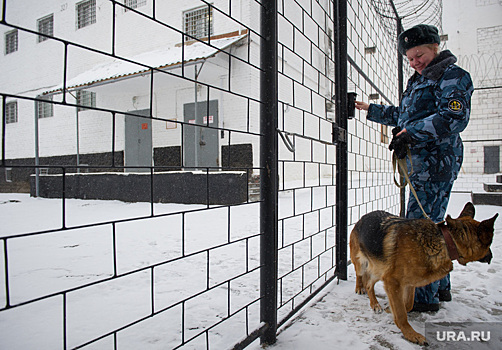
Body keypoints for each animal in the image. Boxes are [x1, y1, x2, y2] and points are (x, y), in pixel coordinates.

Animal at [352, 202, 496, 344]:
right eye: (489, 245)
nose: (491, 256)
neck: (445, 242)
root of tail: (363, 218)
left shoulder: (409, 283)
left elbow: (408, 305)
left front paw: (391, 309)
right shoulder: (392, 281)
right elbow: (401, 313)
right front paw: (411, 334)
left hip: (378, 268)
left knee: (369, 284)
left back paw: (374, 303)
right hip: (363, 264)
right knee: (361, 276)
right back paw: (362, 291)